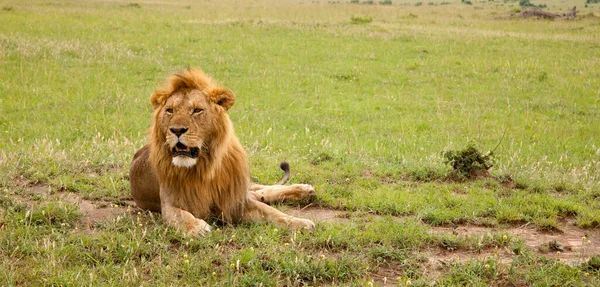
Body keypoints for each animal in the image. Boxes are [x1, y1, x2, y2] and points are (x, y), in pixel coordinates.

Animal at [129, 68, 316, 237]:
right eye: (170, 110)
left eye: (197, 110)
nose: (176, 130)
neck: (204, 166)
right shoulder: (169, 202)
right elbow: (178, 215)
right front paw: (196, 227)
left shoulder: (234, 200)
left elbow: (273, 213)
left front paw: (299, 223)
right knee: (258, 193)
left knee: (259, 190)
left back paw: (304, 189)